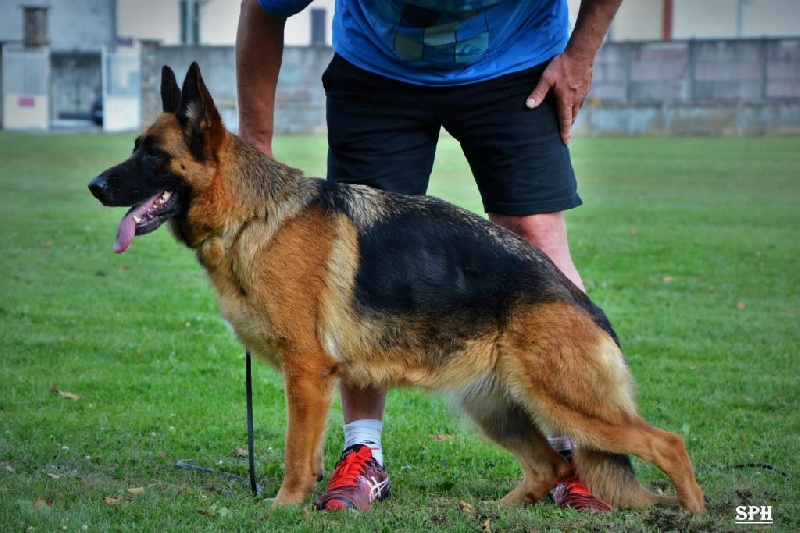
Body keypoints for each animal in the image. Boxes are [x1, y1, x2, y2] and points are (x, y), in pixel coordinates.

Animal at [86, 64, 700, 512]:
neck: (251, 214)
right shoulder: (315, 378)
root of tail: (582, 302)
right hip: (495, 408)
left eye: (152, 154)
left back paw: (692, 511)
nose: (94, 185)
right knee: (553, 462)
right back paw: (498, 512)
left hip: (567, 404)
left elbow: (295, 454)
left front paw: (283, 507)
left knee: (666, 443)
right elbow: (310, 452)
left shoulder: (307, 372)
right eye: (134, 146)